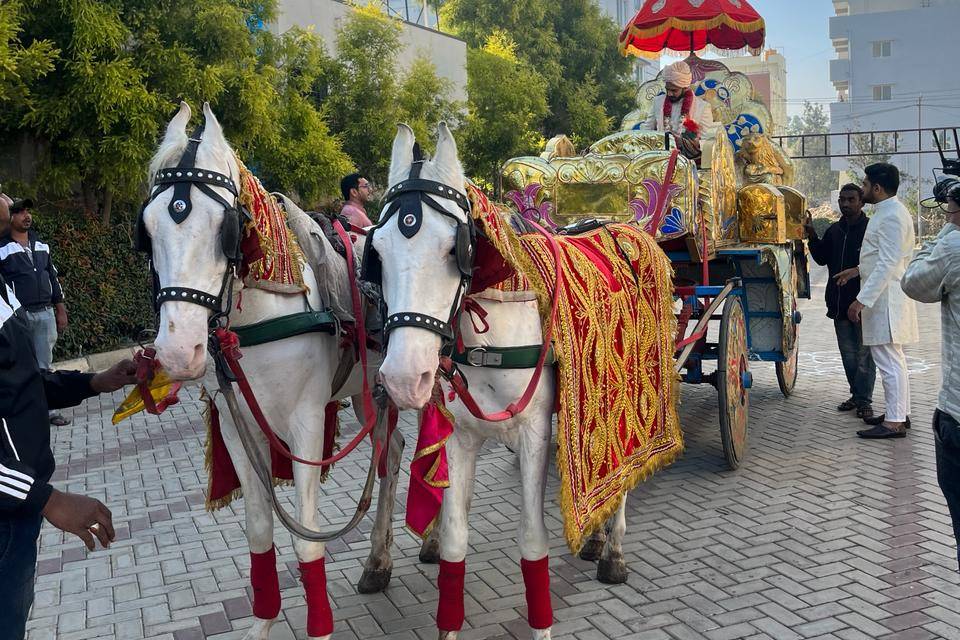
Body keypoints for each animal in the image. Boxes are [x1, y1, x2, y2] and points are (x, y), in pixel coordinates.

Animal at [145, 100, 404, 640]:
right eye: (148, 229)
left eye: (225, 228)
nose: (178, 352)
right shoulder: (239, 424)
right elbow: (260, 534)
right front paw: (263, 621)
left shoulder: (306, 422)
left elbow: (307, 540)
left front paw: (320, 626)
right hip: (371, 390)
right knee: (391, 453)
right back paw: (379, 562)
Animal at [370, 122, 560, 636]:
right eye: (376, 253)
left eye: (453, 249)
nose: (403, 377)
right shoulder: (458, 438)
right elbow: (455, 540)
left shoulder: (536, 432)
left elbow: (533, 539)